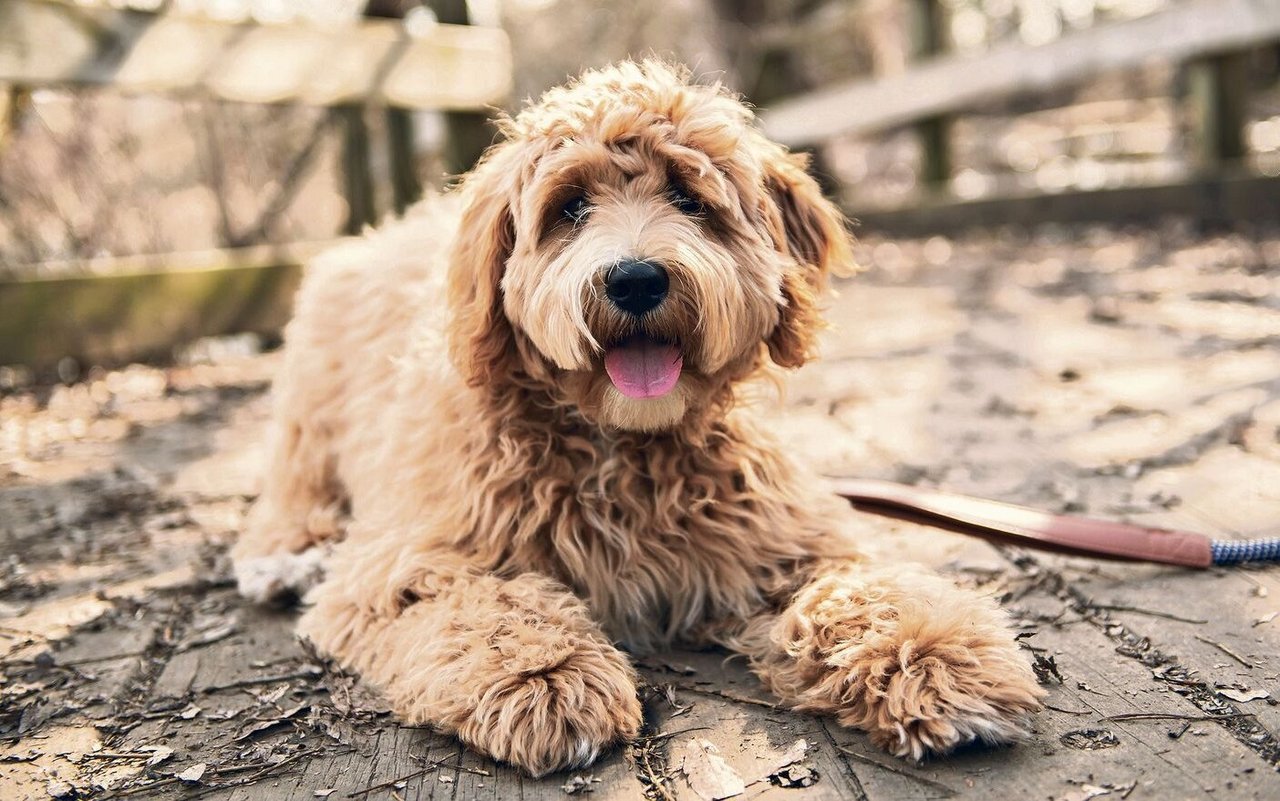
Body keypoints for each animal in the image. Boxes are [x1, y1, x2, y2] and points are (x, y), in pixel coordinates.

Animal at [235, 60, 1044, 772]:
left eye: (689, 198)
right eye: (569, 207)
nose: (635, 278)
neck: (621, 443)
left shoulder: (780, 540)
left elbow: (858, 589)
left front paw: (932, 653)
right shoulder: (401, 564)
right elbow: (480, 602)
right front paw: (547, 676)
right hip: (310, 410)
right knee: (291, 487)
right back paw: (284, 554)